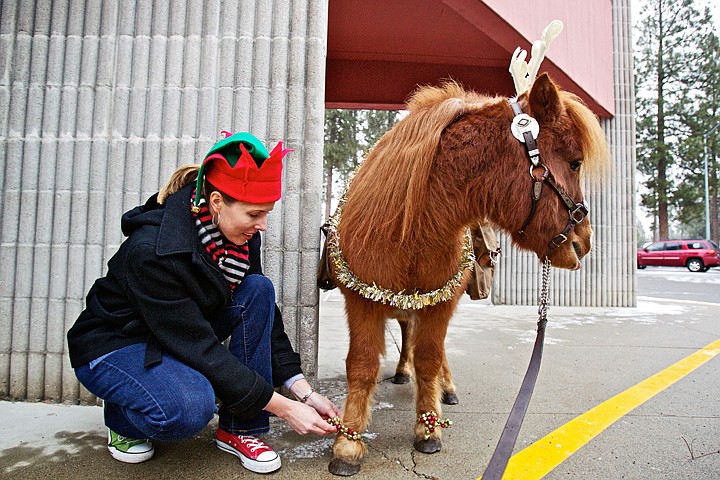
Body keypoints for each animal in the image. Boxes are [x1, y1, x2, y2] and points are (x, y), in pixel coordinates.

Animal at [326, 73, 608, 474]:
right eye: (574, 162)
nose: (583, 241)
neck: (411, 227)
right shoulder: (361, 302)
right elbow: (362, 365)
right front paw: (347, 443)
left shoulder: (440, 304)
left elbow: (430, 358)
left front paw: (428, 429)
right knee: (406, 333)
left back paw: (446, 388)